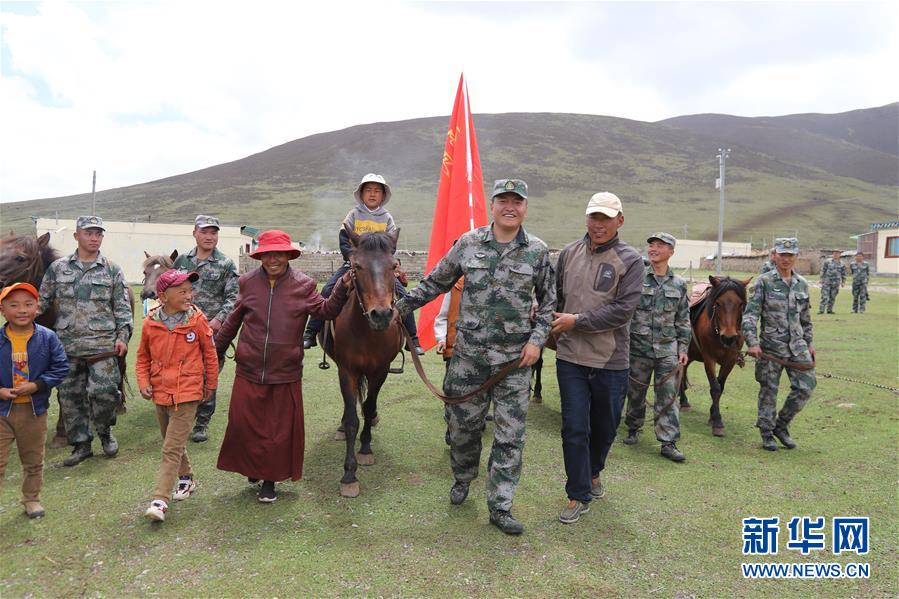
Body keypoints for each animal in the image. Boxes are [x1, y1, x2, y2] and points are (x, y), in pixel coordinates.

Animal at [322, 227, 402, 500]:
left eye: (394, 265)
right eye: (356, 266)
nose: (382, 315)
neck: (368, 331)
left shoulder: (380, 371)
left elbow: (367, 407)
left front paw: (366, 448)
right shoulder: (347, 371)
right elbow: (352, 419)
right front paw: (349, 475)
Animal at [684, 276, 752, 436]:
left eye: (741, 304)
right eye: (718, 304)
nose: (728, 337)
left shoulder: (730, 361)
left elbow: (720, 387)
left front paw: (712, 415)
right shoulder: (709, 359)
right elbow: (715, 388)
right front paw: (718, 422)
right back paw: (683, 402)